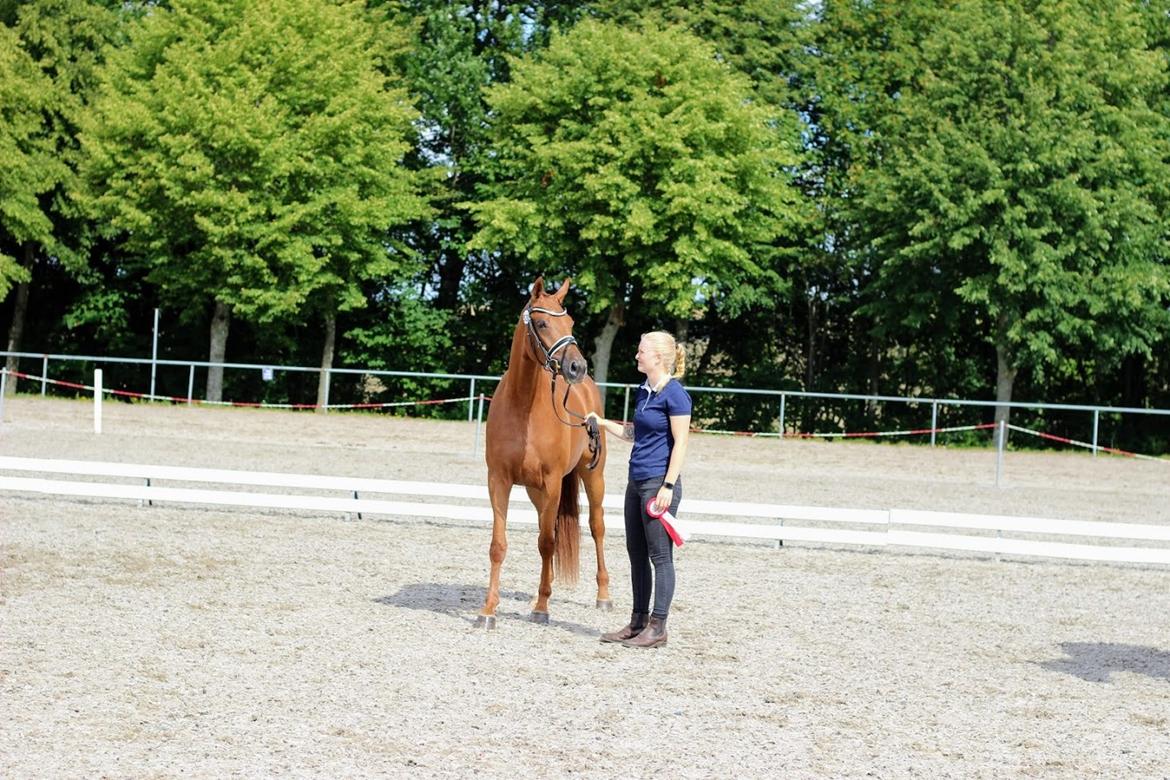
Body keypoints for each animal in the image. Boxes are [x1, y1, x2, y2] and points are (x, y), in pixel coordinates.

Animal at [472, 275, 613, 626]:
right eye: (542, 322)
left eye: (570, 321)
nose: (576, 366)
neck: (523, 406)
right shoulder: (499, 482)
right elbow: (499, 544)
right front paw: (487, 611)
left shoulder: (552, 483)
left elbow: (548, 543)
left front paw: (542, 607)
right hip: (537, 493)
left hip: (592, 478)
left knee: (596, 527)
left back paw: (603, 596)